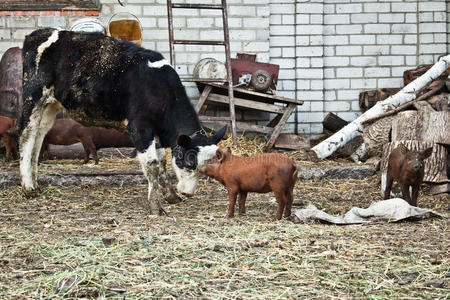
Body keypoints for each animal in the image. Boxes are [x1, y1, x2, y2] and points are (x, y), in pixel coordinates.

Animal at [19, 28, 227, 213]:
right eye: (189, 163)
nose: (188, 193)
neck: (158, 88)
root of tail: (37, 34)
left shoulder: (157, 132)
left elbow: (162, 162)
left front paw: (171, 196)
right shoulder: (140, 128)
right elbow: (152, 164)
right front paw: (156, 207)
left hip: (50, 106)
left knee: (38, 137)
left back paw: (35, 182)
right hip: (33, 98)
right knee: (26, 136)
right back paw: (28, 187)